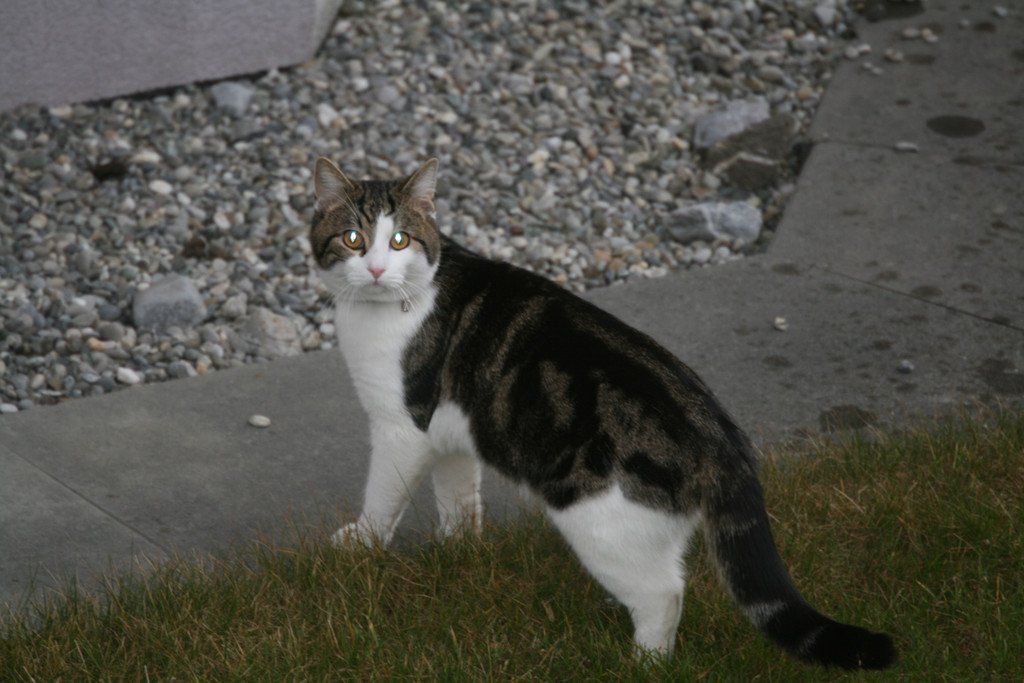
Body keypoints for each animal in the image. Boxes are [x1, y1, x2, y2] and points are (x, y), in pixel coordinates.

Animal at [309, 157, 895, 669]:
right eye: (354, 239)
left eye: (400, 240)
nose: (377, 270)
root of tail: (721, 436)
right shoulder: (449, 434)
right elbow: (458, 498)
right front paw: (457, 553)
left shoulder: (401, 427)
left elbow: (383, 495)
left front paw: (361, 545)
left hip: (600, 520)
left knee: (665, 592)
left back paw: (644, 662)